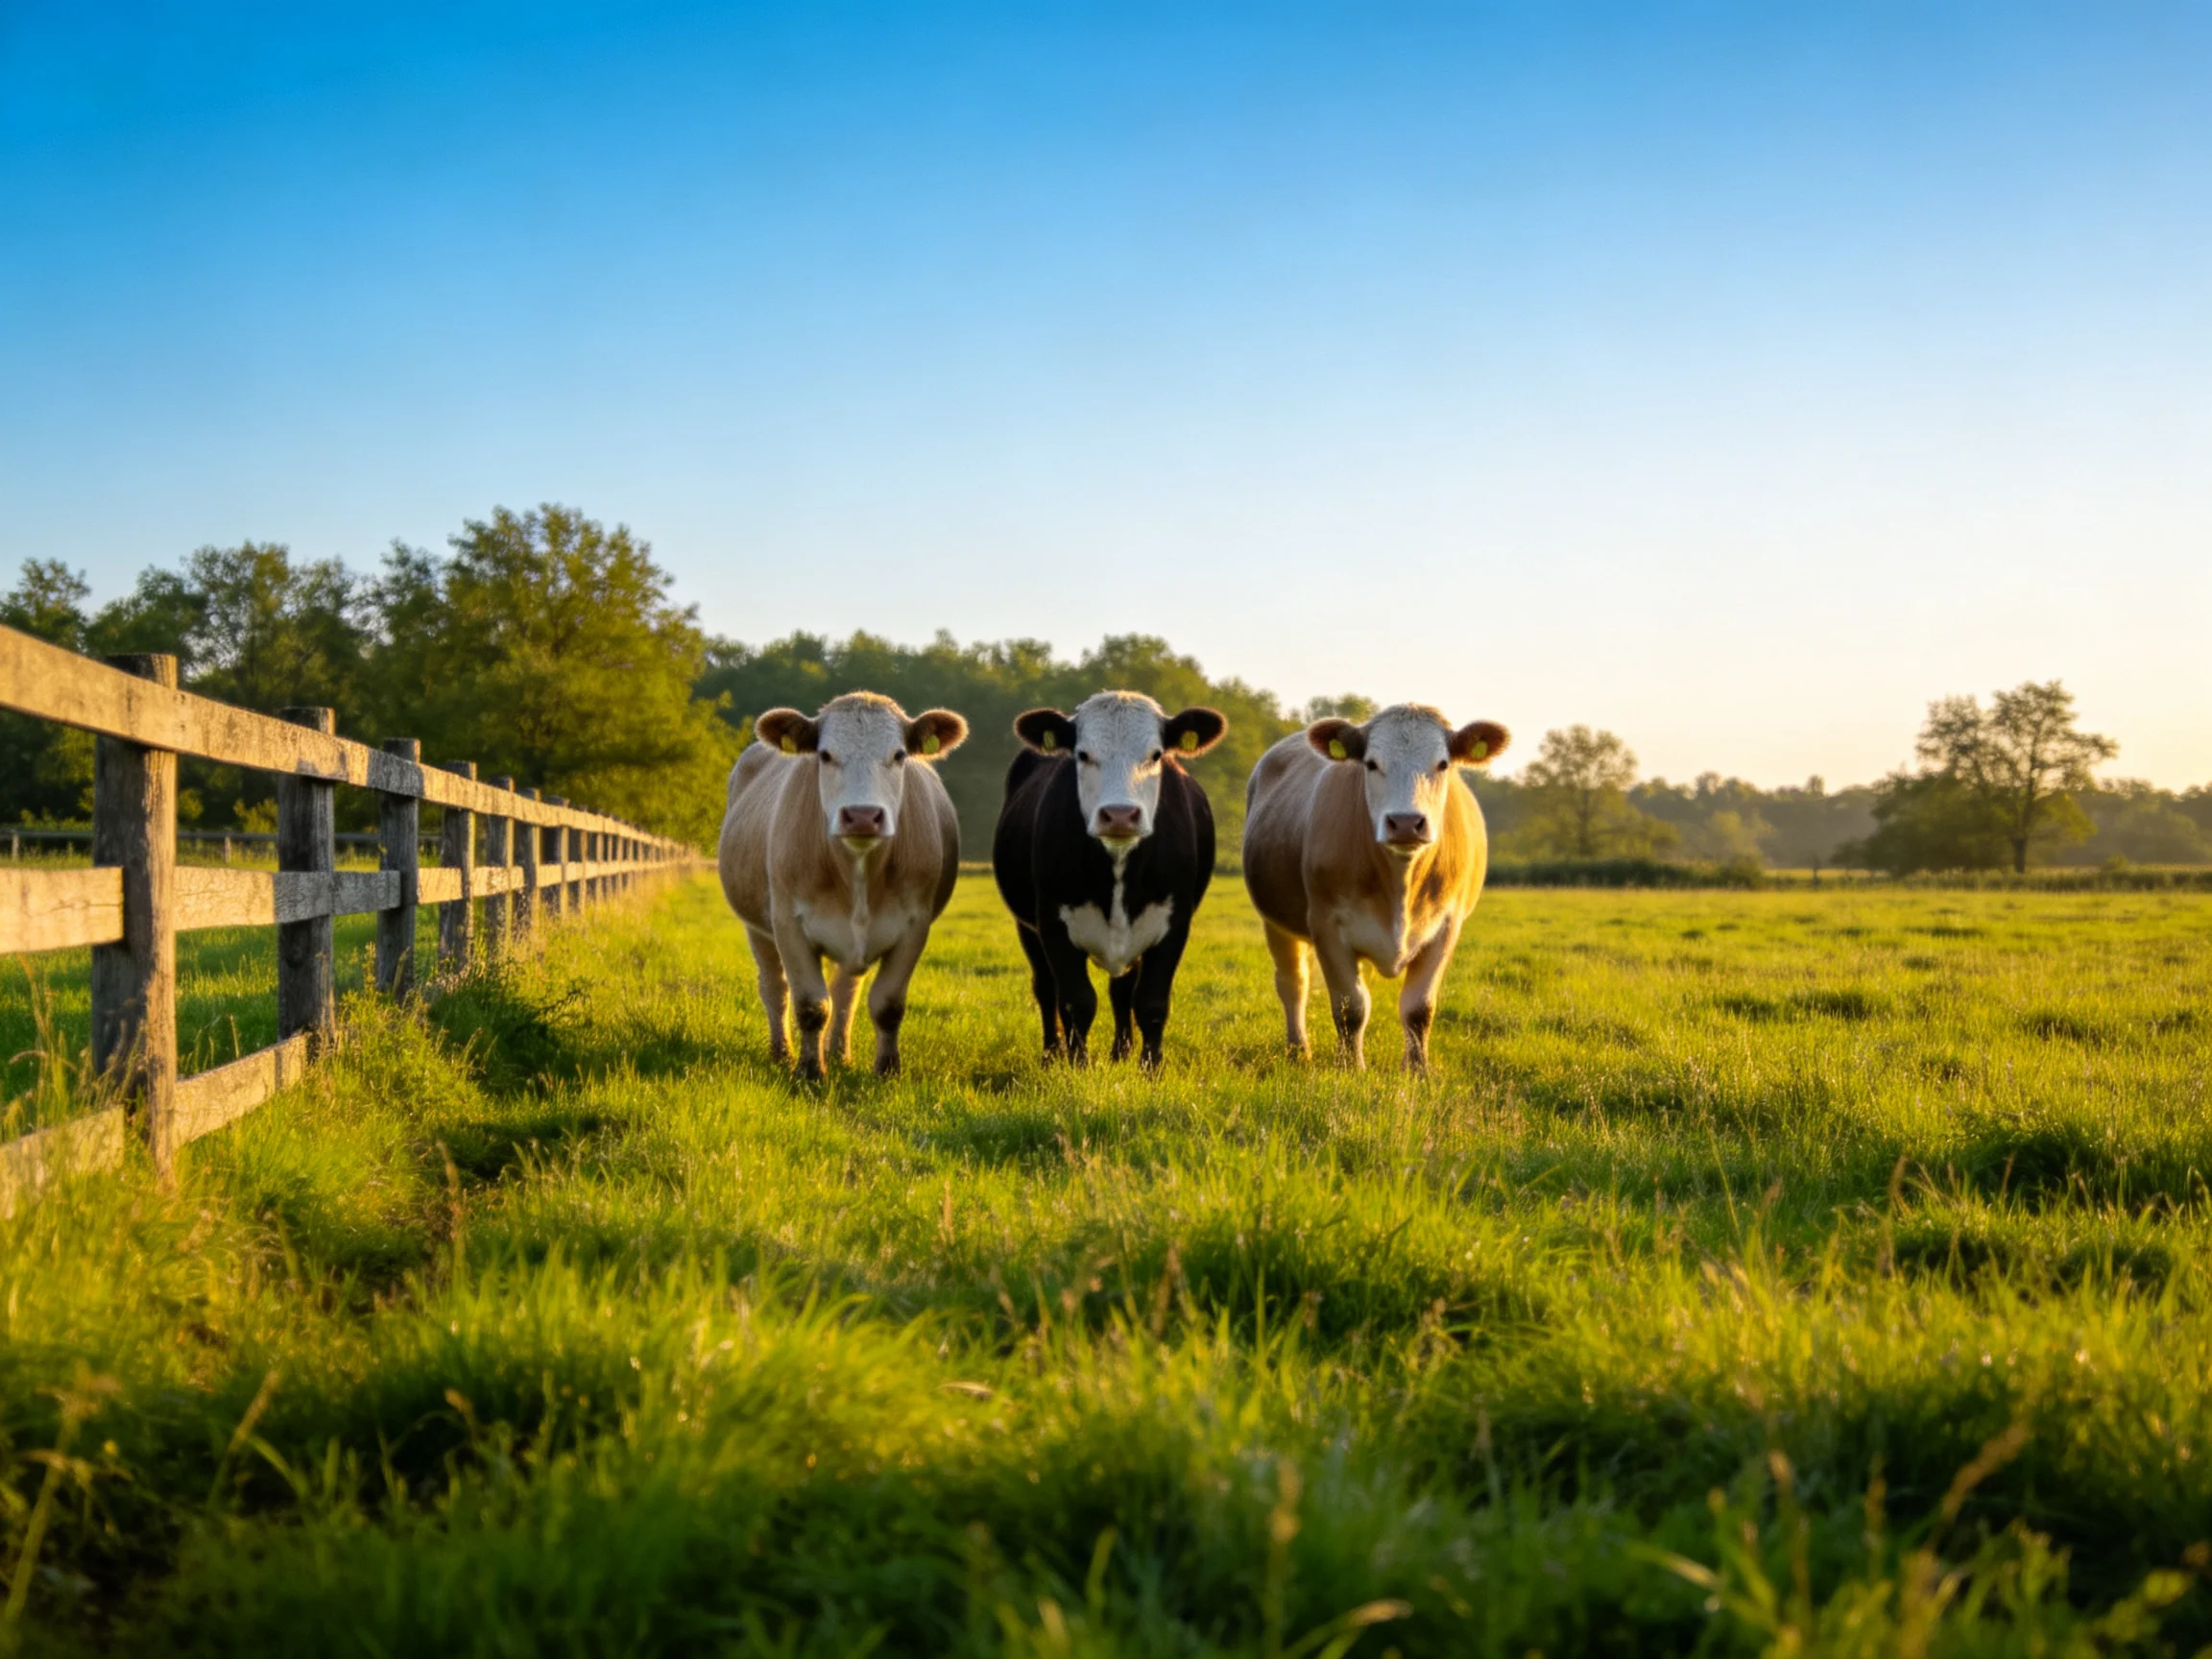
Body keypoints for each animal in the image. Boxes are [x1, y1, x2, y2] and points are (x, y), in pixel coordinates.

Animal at [718, 692, 968, 1079]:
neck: (858, 873)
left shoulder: (914, 925)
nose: (862, 815)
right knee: (775, 987)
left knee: (845, 992)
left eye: (899, 755)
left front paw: (886, 1071)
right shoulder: (788, 923)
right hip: (756, 927)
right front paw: (809, 1072)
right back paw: (782, 1054)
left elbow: (887, 1005)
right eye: (825, 755)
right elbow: (810, 1006)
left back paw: (838, 1054)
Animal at [992, 692, 1227, 1068]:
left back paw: (1121, 1052)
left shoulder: (1174, 924)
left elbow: (1151, 1003)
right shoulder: (1053, 923)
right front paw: (1077, 1067)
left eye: (1156, 755)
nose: (1119, 814)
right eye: (1083, 754)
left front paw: (1151, 1068)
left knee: (1122, 989)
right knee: (1045, 988)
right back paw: (1051, 1054)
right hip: (1026, 926)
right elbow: (1077, 1001)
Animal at [1241, 704, 1509, 1071]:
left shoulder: (1446, 928)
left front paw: (1417, 1071)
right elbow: (1351, 1007)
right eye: (1371, 763)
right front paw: (1350, 1068)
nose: (1406, 822)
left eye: (1442, 764)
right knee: (1293, 983)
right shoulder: (1327, 925)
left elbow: (1419, 1008)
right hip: (1276, 921)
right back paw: (1298, 1050)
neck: (1401, 882)